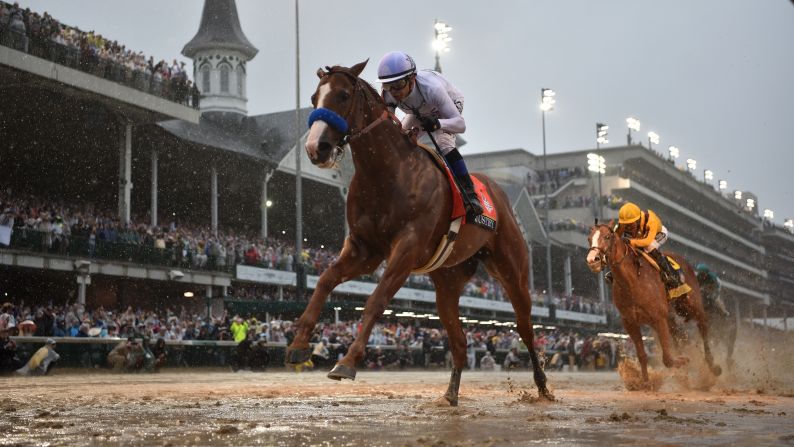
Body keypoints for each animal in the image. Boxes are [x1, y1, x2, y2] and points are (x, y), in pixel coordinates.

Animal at [284, 61, 552, 408]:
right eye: (314, 97)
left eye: (343, 95)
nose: (316, 148)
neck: (387, 173)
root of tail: (498, 192)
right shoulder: (364, 249)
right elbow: (325, 280)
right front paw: (299, 344)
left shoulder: (407, 248)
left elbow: (376, 299)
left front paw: (347, 361)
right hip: (448, 281)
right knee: (460, 341)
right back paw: (450, 395)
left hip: (511, 270)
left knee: (525, 327)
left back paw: (543, 387)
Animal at [580, 226, 716, 386]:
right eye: (589, 238)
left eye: (607, 237)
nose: (592, 260)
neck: (632, 281)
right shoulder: (630, 322)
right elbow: (642, 355)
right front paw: (645, 383)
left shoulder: (659, 318)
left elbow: (667, 359)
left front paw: (683, 361)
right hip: (671, 316)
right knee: (680, 335)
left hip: (690, 304)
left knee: (703, 325)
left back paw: (713, 366)